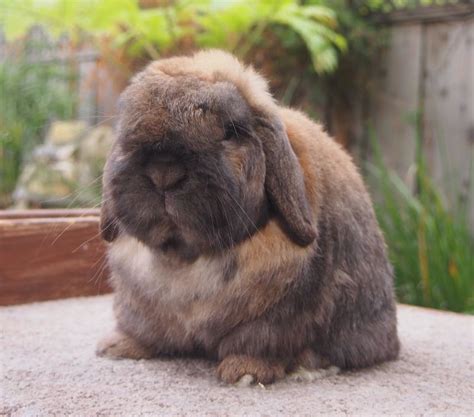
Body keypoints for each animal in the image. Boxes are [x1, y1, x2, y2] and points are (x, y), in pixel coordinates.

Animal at [96, 48, 400, 384]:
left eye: (232, 131)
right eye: (127, 131)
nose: (164, 172)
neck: (187, 257)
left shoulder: (274, 320)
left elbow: (258, 344)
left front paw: (245, 372)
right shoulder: (137, 307)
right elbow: (141, 331)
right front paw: (118, 347)